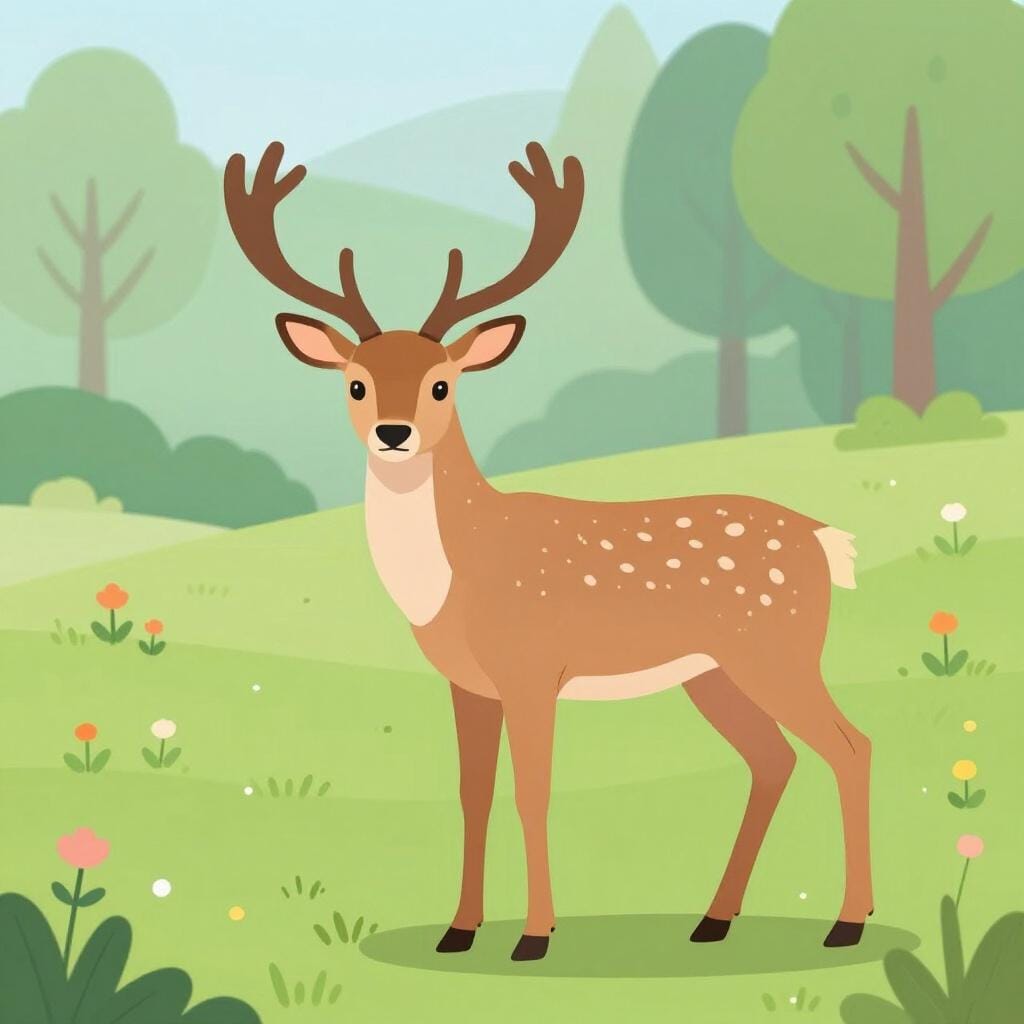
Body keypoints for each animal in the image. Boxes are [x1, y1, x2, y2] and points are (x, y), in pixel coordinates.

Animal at [224, 140, 872, 962]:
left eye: (442, 385)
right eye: (357, 383)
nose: (395, 433)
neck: (458, 576)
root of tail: (825, 540)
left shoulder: (533, 668)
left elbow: (532, 791)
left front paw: (534, 936)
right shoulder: (468, 682)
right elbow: (473, 793)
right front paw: (458, 931)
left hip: (778, 647)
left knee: (850, 746)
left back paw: (847, 923)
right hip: (715, 672)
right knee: (775, 758)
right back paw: (713, 920)